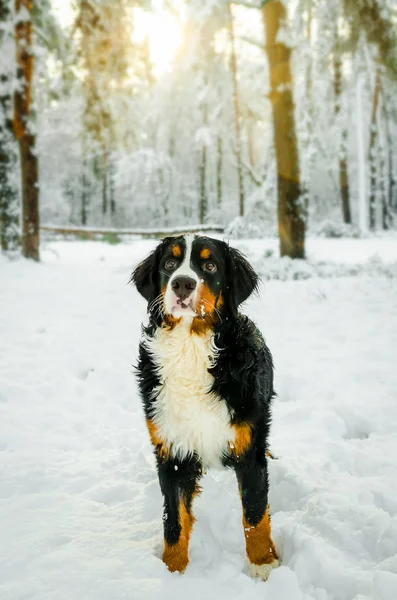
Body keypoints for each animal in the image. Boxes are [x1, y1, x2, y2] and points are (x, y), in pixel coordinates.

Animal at [131, 232, 276, 580]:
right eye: (170, 263)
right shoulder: (171, 450)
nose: (183, 283)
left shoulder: (248, 447)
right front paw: (172, 571)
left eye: (210, 266)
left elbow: (254, 513)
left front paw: (263, 564)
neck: (190, 348)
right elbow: (174, 521)